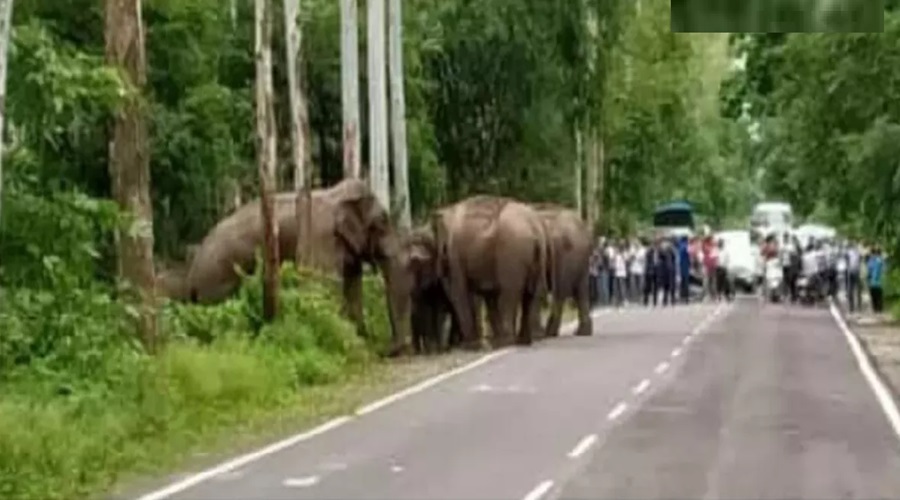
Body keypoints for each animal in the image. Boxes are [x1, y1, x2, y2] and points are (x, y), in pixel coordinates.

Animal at [190, 178, 414, 354]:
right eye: (382, 223)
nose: (386, 349)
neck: (338, 194)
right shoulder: (321, 239)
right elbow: (325, 286)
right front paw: (353, 343)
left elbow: (353, 286)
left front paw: (361, 340)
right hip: (217, 282)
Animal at [432, 195, 552, 348]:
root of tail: (534, 227)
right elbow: (489, 296)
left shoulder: (455, 254)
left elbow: (459, 292)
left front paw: (471, 346)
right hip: (540, 253)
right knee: (533, 294)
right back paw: (522, 341)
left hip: (512, 253)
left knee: (509, 293)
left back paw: (504, 342)